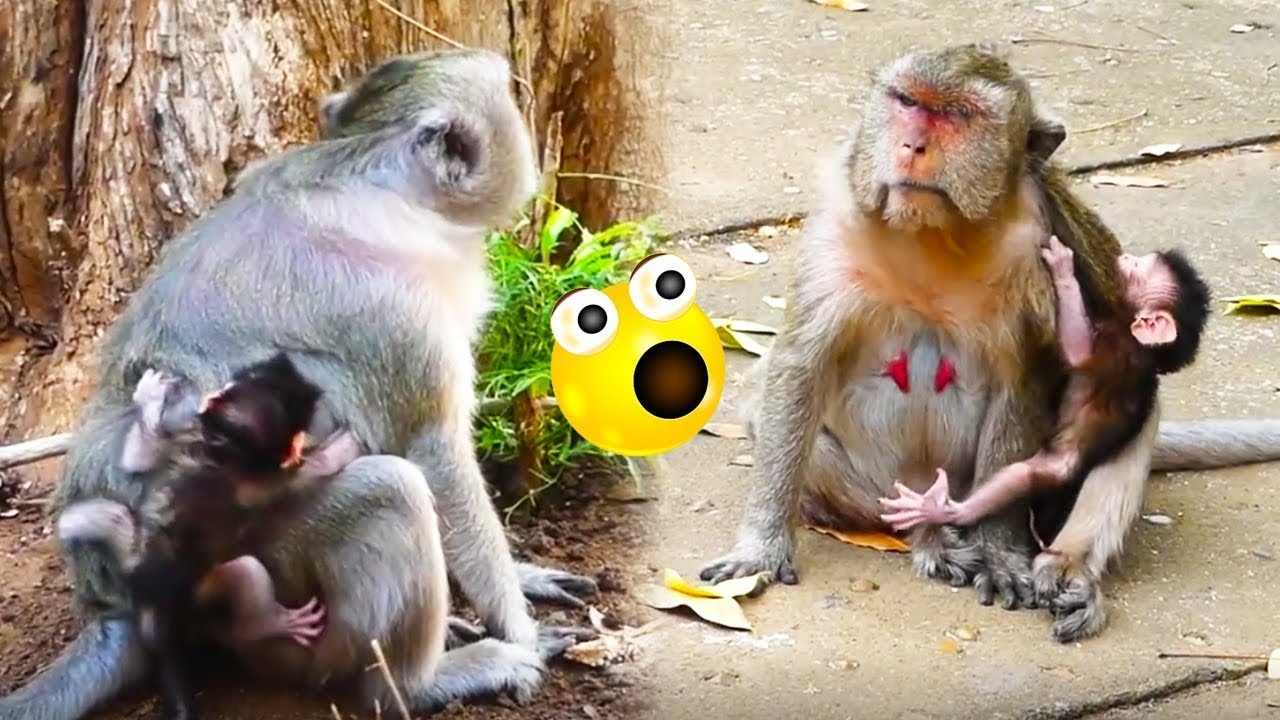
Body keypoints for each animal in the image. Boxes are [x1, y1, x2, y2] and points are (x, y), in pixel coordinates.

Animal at [0, 49, 597, 720]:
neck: (372, 178)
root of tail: (117, 601)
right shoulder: (402, 317)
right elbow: (436, 455)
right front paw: (517, 627)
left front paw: (522, 577)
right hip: (263, 576)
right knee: (391, 491)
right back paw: (421, 684)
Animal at [879, 236, 1213, 534]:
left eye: (1135, 268)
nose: (1124, 257)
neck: (1143, 347)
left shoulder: (1118, 352)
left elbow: (1078, 352)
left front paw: (1064, 270)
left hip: (1056, 469)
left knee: (1022, 476)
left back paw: (946, 510)